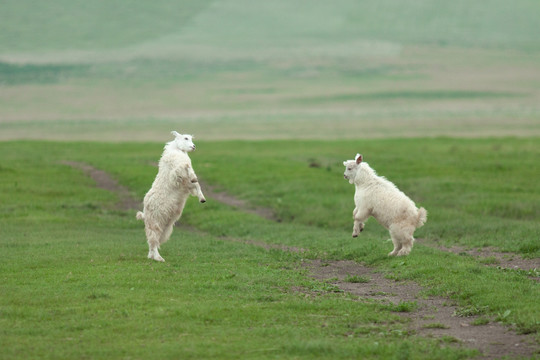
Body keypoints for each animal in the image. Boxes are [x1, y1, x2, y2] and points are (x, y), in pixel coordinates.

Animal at [136, 131, 206, 260]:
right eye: (186, 138)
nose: (193, 147)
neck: (177, 150)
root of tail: (145, 213)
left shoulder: (186, 183)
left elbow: (196, 185)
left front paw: (202, 198)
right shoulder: (177, 173)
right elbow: (187, 167)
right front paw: (194, 177)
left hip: (165, 226)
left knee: (154, 241)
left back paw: (152, 256)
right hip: (155, 221)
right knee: (153, 239)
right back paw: (158, 258)